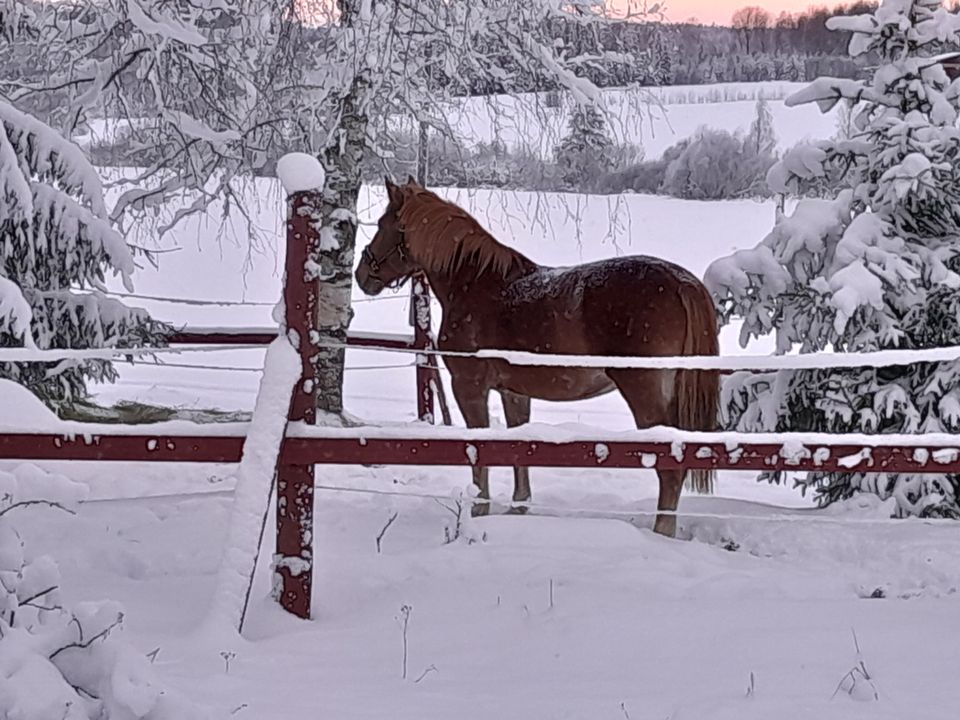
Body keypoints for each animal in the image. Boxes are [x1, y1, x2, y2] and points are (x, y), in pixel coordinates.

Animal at [356, 176, 716, 536]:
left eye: (383, 224)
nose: (362, 275)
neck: (476, 285)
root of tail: (681, 283)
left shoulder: (469, 387)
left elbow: (479, 451)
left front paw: (479, 510)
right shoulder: (514, 392)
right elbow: (518, 448)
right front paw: (519, 508)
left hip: (644, 393)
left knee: (670, 467)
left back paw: (660, 534)